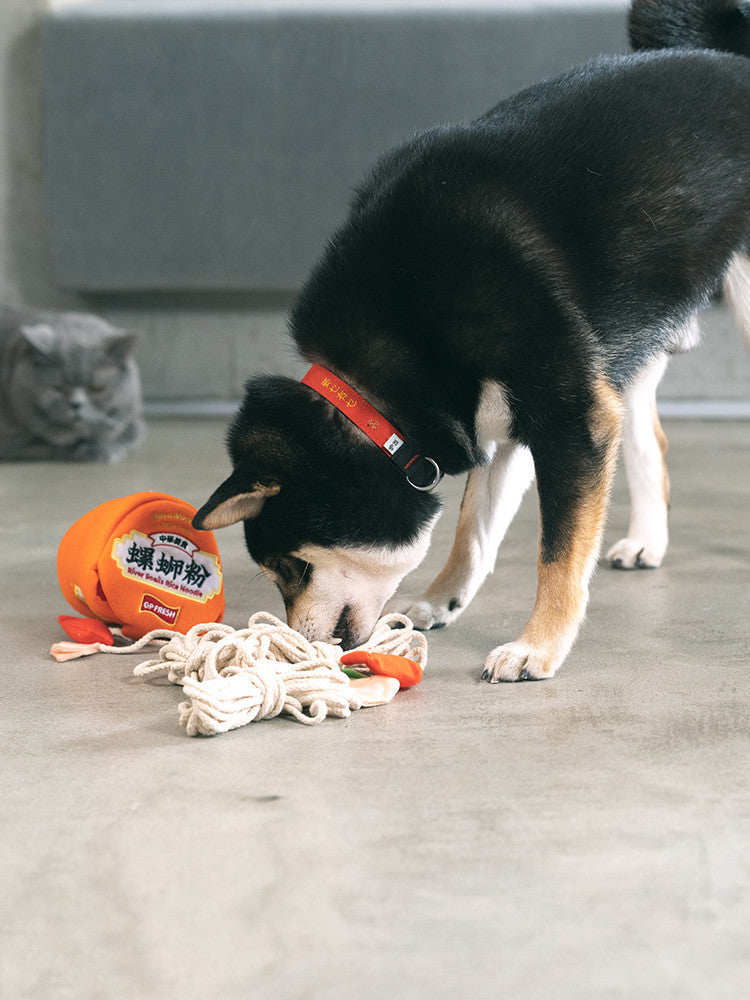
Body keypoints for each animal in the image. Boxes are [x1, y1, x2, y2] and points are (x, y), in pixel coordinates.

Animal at [0, 306, 144, 462]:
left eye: (97, 389)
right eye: (57, 388)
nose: (76, 404)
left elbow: (132, 431)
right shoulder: (14, 440)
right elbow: (49, 444)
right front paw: (102, 450)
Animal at [195, 0, 750, 680]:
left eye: (292, 566)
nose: (302, 645)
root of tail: (731, 55)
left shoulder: (572, 416)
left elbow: (558, 553)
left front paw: (539, 645)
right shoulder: (506, 421)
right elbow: (473, 529)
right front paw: (440, 600)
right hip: (633, 340)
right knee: (650, 438)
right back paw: (648, 537)